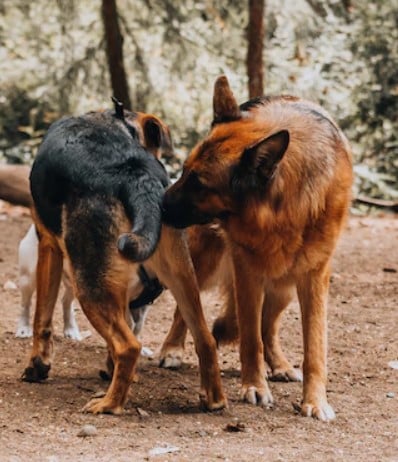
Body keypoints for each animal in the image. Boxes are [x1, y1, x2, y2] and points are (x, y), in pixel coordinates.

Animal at [23, 103, 225, 414]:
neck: (118, 123)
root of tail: (135, 174)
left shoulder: (48, 246)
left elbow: (41, 318)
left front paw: (38, 365)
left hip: (89, 285)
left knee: (128, 347)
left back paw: (109, 404)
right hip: (183, 278)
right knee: (205, 339)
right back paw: (213, 400)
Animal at [161, 76, 352, 422]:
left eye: (200, 184)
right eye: (183, 171)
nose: (159, 204)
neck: (284, 207)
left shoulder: (315, 276)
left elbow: (314, 346)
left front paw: (315, 401)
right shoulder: (246, 271)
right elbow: (249, 338)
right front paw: (254, 386)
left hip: (283, 288)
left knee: (269, 328)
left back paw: (279, 365)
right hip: (205, 263)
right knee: (185, 309)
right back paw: (172, 349)